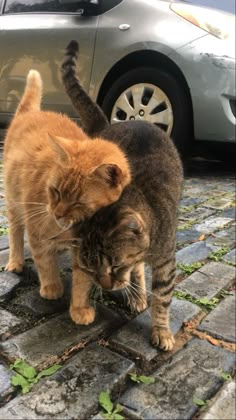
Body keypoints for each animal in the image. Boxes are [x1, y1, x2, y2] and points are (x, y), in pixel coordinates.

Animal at [2, 69, 130, 308]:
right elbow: (45, 261)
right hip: (14, 202)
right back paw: (15, 261)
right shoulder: (36, 229)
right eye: (55, 191)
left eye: (78, 202)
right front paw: (52, 287)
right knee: (15, 230)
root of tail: (30, 112)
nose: (57, 213)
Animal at [60, 41, 183, 352]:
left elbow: (163, 300)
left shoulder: (166, 261)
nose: (106, 286)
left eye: (115, 265)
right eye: (91, 267)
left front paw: (162, 331)